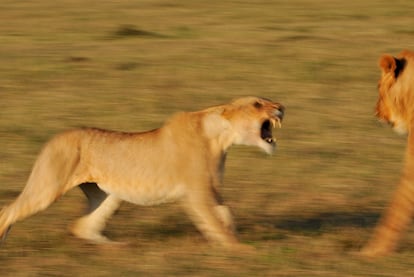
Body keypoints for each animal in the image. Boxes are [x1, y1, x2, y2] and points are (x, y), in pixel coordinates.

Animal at [0, 96, 284, 249]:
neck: (221, 137)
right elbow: (216, 223)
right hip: (48, 187)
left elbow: (226, 215)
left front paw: (234, 240)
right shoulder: (197, 193)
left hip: (110, 194)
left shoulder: (212, 190)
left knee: (82, 226)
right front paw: (241, 251)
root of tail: (55, 137)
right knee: (8, 210)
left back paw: (119, 249)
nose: (282, 106)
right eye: (257, 104)